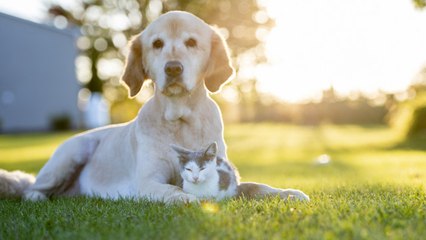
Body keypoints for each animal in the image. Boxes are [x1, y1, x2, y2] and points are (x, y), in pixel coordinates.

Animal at [0, 10, 306, 202]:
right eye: (157, 44)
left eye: (191, 42)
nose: (173, 68)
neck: (180, 119)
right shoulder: (148, 181)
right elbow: (174, 191)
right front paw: (189, 199)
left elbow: (257, 186)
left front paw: (288, 192)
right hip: (71, 153)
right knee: (31, 188)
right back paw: (36, 197)